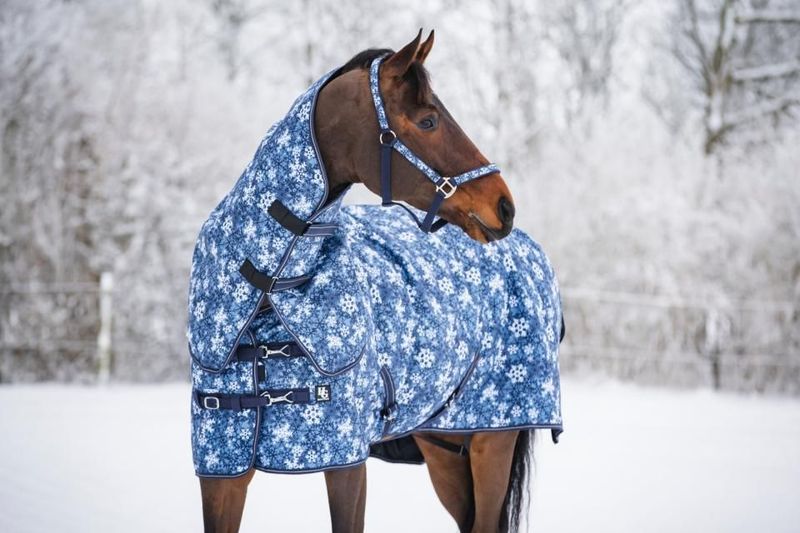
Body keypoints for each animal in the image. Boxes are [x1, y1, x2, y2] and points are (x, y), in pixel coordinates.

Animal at [189, 30, 563, 533]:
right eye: (428, 120)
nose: (503, 205)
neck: (268, 294)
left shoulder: (347, 463)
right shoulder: (221, 471)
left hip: (493, 439)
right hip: (444, 446)